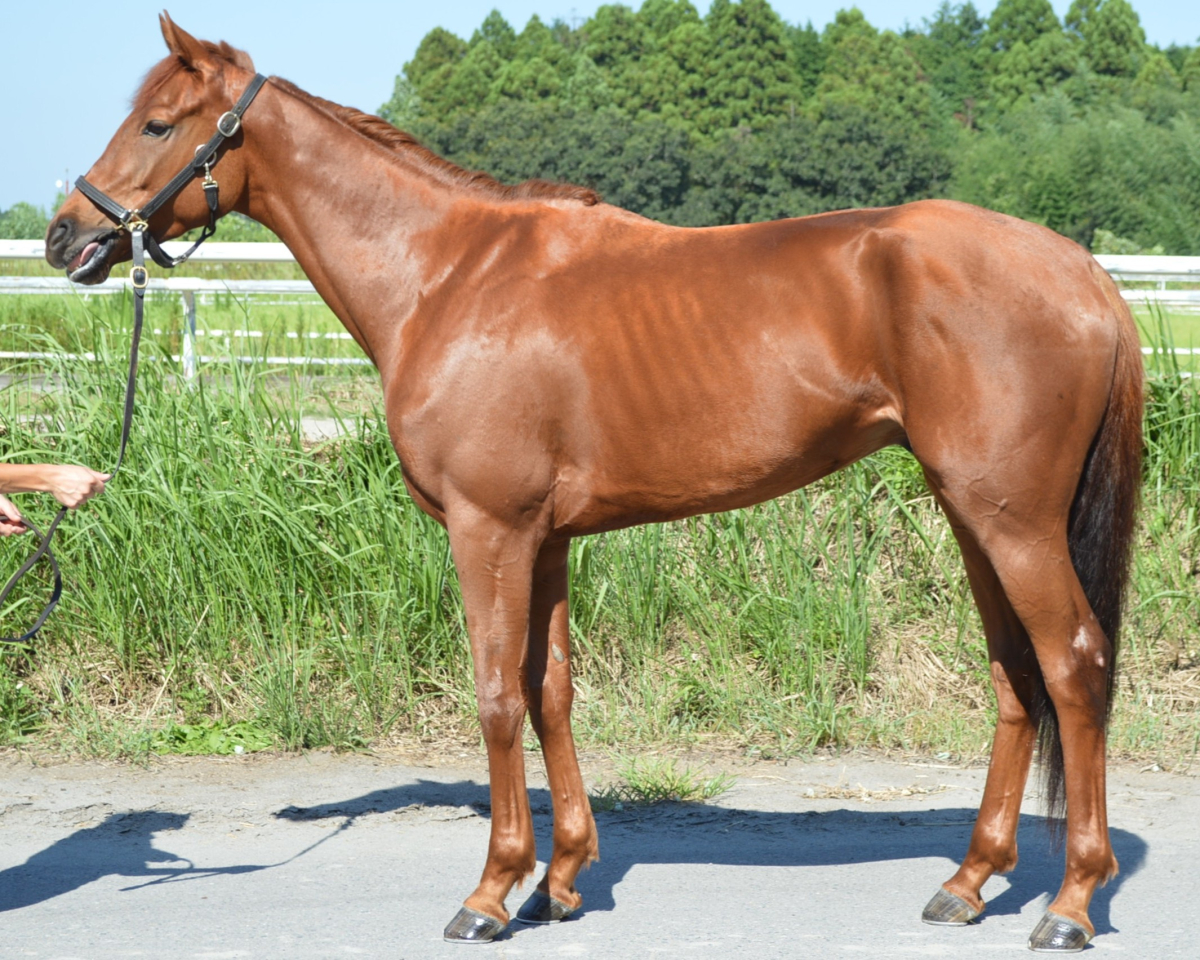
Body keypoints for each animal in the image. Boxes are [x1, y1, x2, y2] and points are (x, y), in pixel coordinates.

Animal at [45, 15, 1142, 952]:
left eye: (157, 121)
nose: (64, 237)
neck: (447, 277)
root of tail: (1082, 271)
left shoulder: (488, 530)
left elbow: (495, 695)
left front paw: (492, 892)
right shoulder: (547, 538)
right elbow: (552, 690)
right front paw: (561, 882)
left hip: (1013, 522)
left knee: (1073, 663)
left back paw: (1070, 904)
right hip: (974, 515)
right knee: (1014, 677)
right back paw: (970, 883)